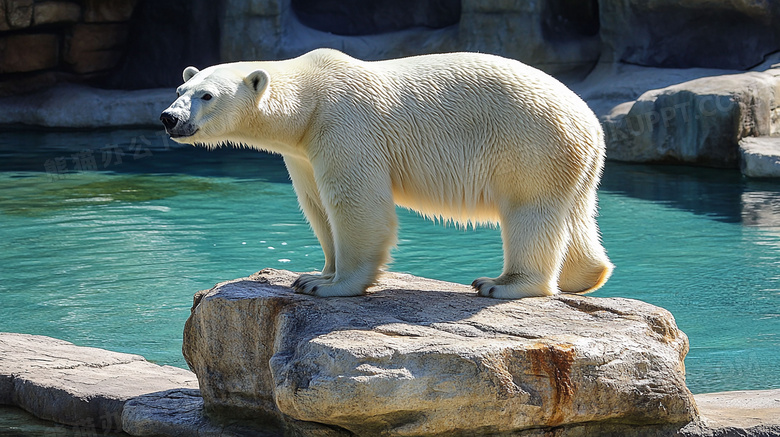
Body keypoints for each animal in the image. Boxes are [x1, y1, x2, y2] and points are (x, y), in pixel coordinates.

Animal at [160, 49, 608, 298]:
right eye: (180, 90)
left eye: (207, 95)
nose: (169, 118)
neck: (308, 102)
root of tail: (592, 124)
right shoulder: (302, 152)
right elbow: (316, 204)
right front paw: (315, 272)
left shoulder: (344, 125)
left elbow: (356, 203)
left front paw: (329, 286)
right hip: (571, 162)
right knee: (576, 216)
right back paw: (585, 275)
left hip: (529, 143)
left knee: (528, 209)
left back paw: (501, 283)